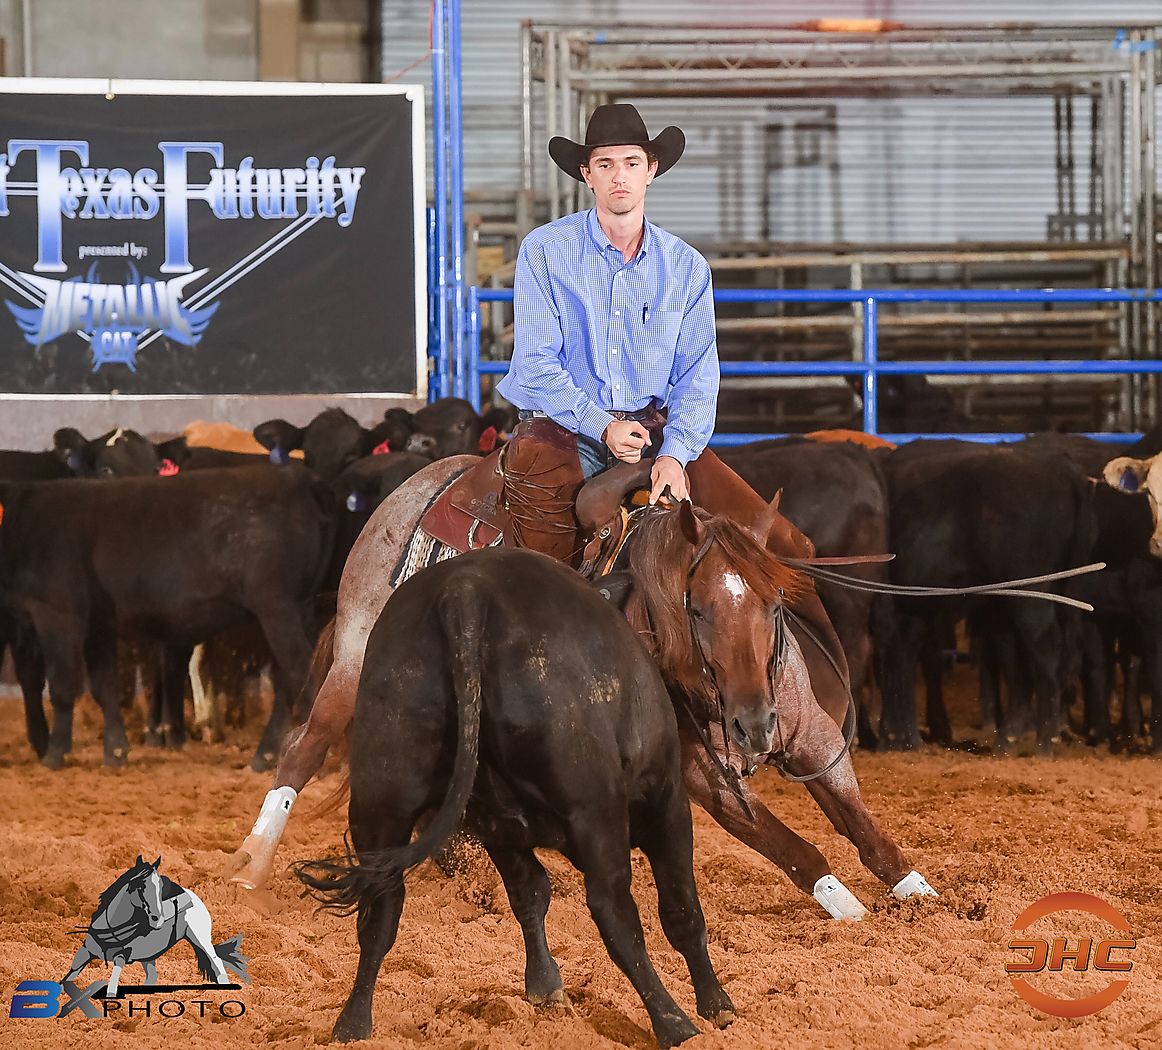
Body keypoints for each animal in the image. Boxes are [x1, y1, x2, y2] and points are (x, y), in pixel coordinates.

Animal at [0, 466, 336, 771]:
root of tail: (300, 477)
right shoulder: (99, 623)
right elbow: (104, 686)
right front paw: (116, 752)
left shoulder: (56, 611)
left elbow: (61, 685)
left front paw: (55, 754)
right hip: (299, 610)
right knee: (291, 680)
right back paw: (267, 755)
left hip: (277, 609)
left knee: (300, 672)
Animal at [226, 450, 934, 919]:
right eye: (697, 609)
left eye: (771, 603)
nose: (753, 726)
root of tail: (424, 484)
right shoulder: (702, 774)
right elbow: (792, 847)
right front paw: (848, 907)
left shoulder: (813, 738)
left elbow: (864, 829)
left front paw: (920, 895)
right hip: (355, 660)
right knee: (305, 747)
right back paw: (252, 866)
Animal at [299, 552, 734, 1045]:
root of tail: (464, 591)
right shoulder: (667, 805)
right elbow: (682, 911)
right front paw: (716, 1005)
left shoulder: (499, 830)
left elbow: (530, 892)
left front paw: (543, 986)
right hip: (596, 808)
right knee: (614, 910)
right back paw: (673, 1021)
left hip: (382, 795)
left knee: (380, 907)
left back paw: (352, 1022)